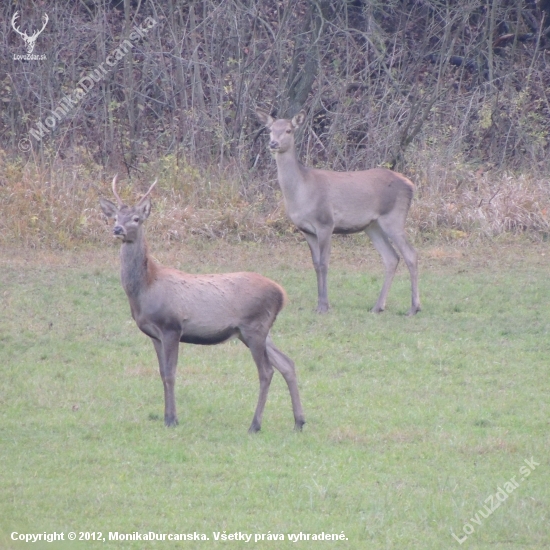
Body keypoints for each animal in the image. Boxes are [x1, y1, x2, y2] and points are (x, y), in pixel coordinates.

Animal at [99, 177, 306, 436]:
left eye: (136, 218)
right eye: (115, 217)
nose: (118, 230)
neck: (145, 288)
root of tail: (282, 294)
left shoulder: (171, 327)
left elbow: (170, 374)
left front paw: (172, 419)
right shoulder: (154, 335)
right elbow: (161, 373)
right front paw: (167, 417)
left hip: (255, 327)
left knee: (266, 371)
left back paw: (255, 425)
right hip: (256, 331)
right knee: (287, 363)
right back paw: (299, 421)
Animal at [258, 110, 422, 316]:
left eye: (288, 130)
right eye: (270, 129)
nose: (273, 144)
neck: (301, 192)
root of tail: (411, 185)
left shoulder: (325, 223)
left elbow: (324, 263)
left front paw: (324, 306)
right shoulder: (306, 230)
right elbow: (315, 264)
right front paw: (320, 304)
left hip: (393, 217)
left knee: (411, 254)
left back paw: (414, 307)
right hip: (373, 225)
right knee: (391, 257)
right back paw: (378, 306)